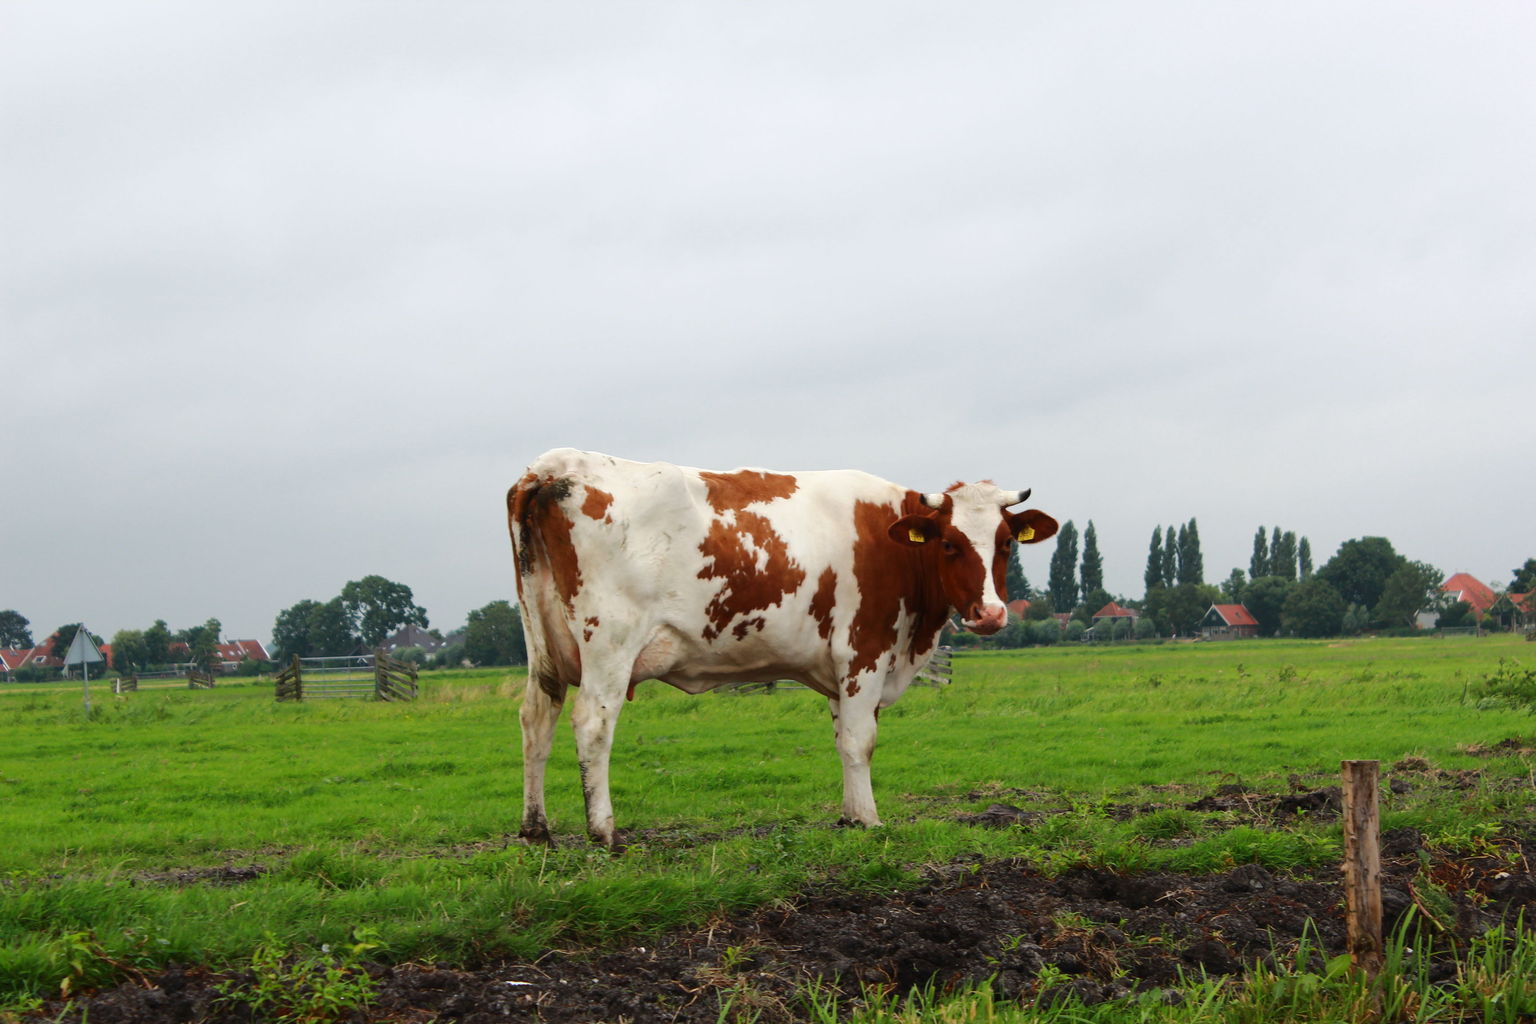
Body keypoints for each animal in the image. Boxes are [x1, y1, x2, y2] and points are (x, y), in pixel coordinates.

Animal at [507, 448, 1058, 848]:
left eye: (1006, 543)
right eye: (949, 544)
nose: (990, 614)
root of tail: (557, 464)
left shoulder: (839, 670)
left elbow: (842, 739)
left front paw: (849, 817)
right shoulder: (863, 651)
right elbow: (861, 740)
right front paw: (870, 821)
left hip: (543, 643)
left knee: (537, 718)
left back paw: (536, 829)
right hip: (610, 643)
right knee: (592, 725)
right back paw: (603, 831)